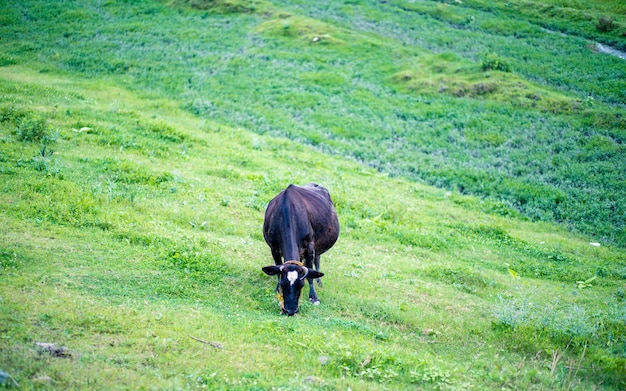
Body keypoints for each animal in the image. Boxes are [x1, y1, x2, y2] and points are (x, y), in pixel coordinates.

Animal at [260, 183, 338, 316]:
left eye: (301, 285)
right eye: (283, 285)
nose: (291, 311)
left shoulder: (310, 247)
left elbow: (310, 273)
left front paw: (314, 297)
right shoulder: (274, 247)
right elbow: (278, 269)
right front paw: (276, 289)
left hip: (318, 246)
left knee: (317, 261)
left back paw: (319, 283)